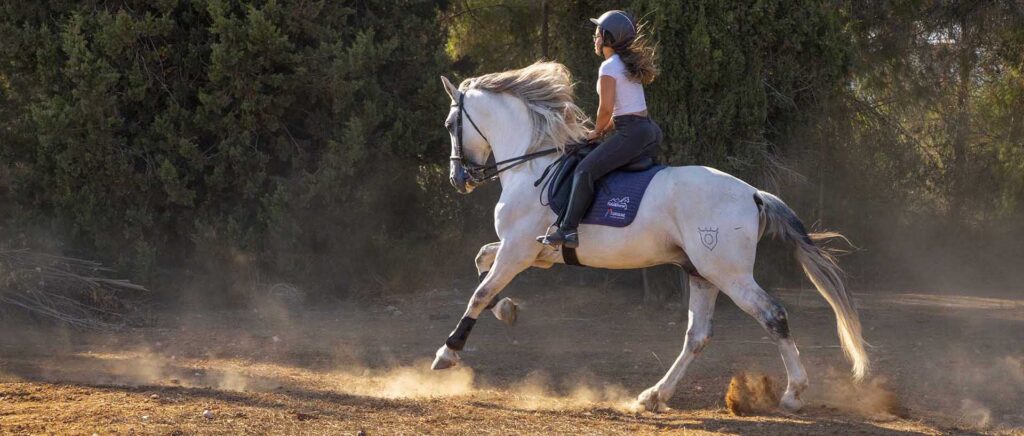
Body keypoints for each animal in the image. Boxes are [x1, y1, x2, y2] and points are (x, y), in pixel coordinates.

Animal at [431, 61, 868, 412]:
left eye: (451, 125)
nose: (458, 179)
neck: (532, 164)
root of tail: (754, 194)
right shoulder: (530, 253)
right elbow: (481, 262)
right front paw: (507, 310)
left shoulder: (519, 250)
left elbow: (480, 292)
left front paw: (448, 352)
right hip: (701, 273)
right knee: (698, 336)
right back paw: (654, 396)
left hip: (728, 273)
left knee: (773, 316)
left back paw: (793, 394)